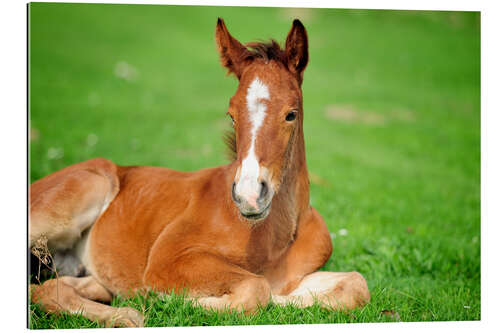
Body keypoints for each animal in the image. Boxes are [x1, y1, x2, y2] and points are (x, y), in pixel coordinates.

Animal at [28, 18, 372, 326]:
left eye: (291, 114)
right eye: (231, 115)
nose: (249, 196)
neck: (275, 236)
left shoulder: (302, 274)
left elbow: (356, 285)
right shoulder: (168, 258)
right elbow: (256, 288)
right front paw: (171, 300)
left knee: (54, 286)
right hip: (78, 196)